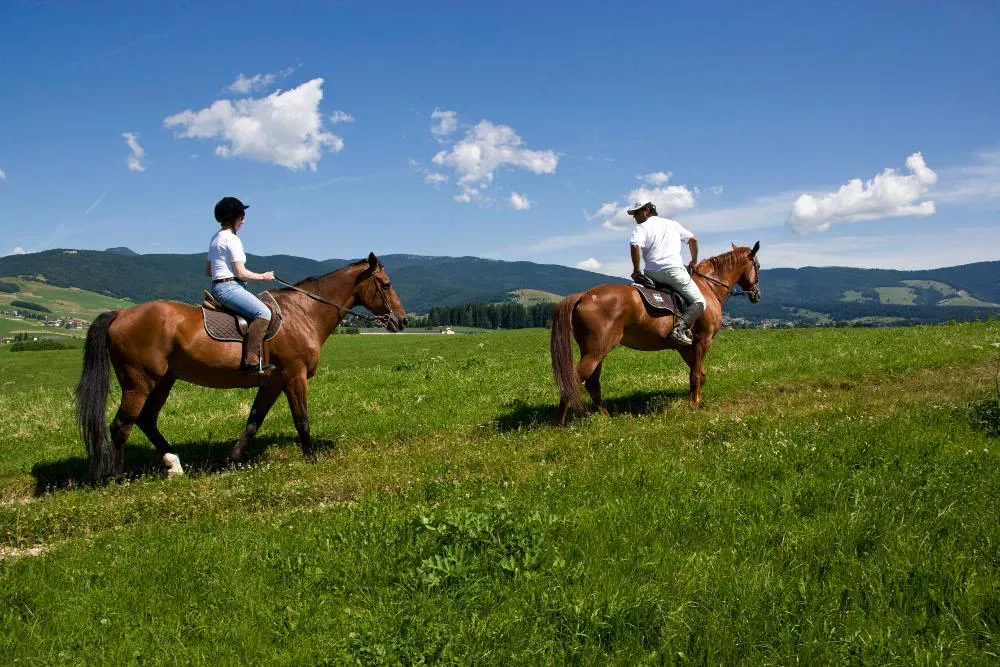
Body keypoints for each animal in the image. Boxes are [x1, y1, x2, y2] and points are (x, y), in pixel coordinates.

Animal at [75, 252, 407, 483]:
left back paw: (175, 465)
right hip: (139, 382)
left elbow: (253, 422)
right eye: (386, 284)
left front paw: (232, 460)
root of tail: (120, 314)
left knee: (146, 420)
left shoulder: (272, 383)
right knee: (121, 425)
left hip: (163, 381)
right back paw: (119, 477)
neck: (304, 312)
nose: (402, 320)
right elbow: (301, 419)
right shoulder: (295, 376)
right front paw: (311, 458)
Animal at [550, 242, 761, 424]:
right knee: (573, 382)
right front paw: (694, 406)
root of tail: (583, 295)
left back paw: (605, 417)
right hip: (595, 352)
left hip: (595, 352)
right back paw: (559, 423)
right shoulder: (703, 341)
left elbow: (699, 374)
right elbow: (695, 375)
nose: (756, 295)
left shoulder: (686, 347)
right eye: (757, 265)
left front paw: (696, 401)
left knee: (592, 384)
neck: (708, 288)